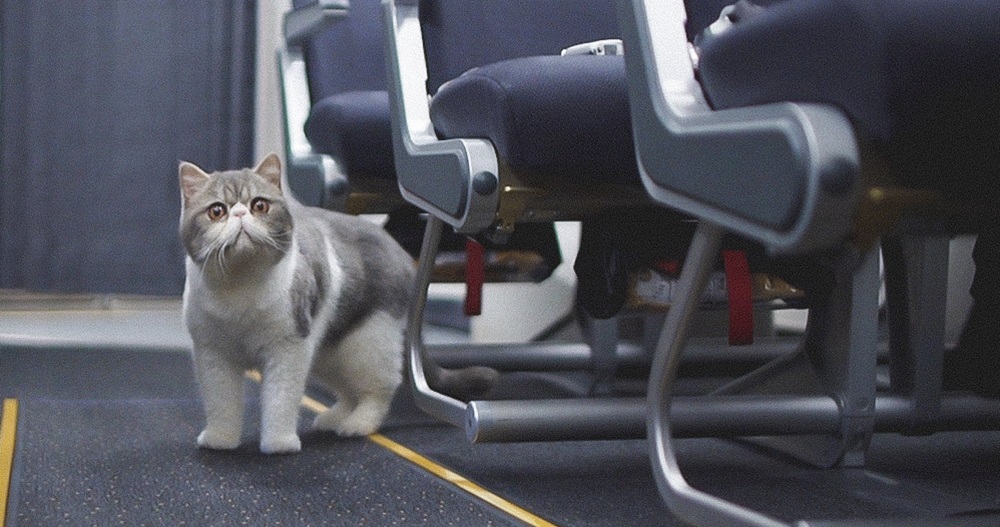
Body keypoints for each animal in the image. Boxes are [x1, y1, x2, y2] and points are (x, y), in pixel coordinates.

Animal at [178, 153, 416, 454]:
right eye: (217, 211)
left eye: (259, 205)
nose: (240, 213)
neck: (238, 289)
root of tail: (401, 252)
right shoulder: (214, 355)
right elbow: (221, 402)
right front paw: (220, 439)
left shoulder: (287, 350)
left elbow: (280, 400)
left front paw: (279, 443)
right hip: (328, 355)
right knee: (348, 392)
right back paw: (333, 418)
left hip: (368, 346)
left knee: (378, 390)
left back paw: (357, 424)